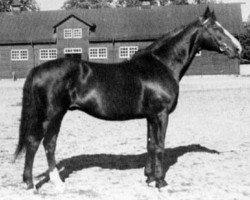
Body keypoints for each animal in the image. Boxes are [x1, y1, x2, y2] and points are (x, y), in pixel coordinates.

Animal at [14, 7, 242, 190]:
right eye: (216, 28)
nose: (238, 48)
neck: (162, 65)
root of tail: (38, 69)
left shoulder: (151, 116)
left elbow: (151, 144)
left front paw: (149, 178)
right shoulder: (161, 114)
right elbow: (160, 145)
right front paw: (161, 182)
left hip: (58, 115)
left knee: (49, 144)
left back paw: (57, 183)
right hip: (50, 114)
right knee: (34, 142)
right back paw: (30, 184)